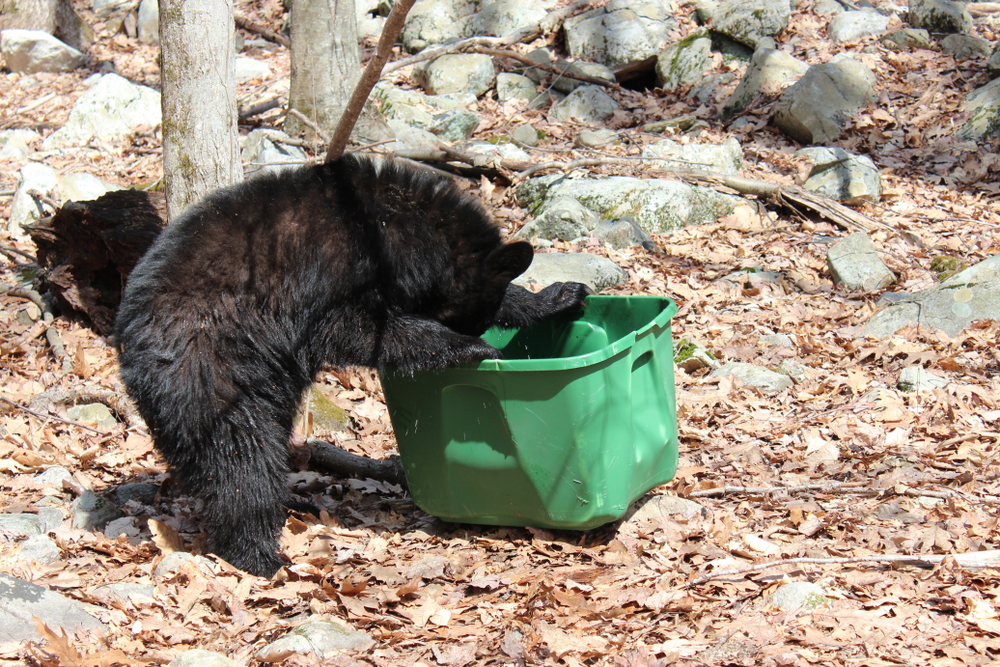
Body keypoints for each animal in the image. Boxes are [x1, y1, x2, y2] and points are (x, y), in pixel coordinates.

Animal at [114, 154, 588, 576]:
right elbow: (357, 329)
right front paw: (474, 348)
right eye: (467, 320)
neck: (390, 232)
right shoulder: (325, 282)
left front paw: (555, 297)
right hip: (214, 372)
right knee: (242, 462)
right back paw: (260, 557)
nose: (475, 331)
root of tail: (127, 350)